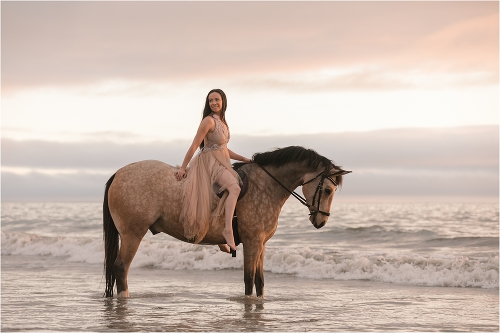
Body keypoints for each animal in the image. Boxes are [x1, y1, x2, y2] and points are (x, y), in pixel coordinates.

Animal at [103, 145, 350, 296]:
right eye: (328, 190)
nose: (321, 221)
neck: (265, 185)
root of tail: (118, 173)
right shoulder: (252, 242)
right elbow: (249, 280)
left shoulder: (261, 244)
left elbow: (259, 282)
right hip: (132, 234)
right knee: (121, 268)